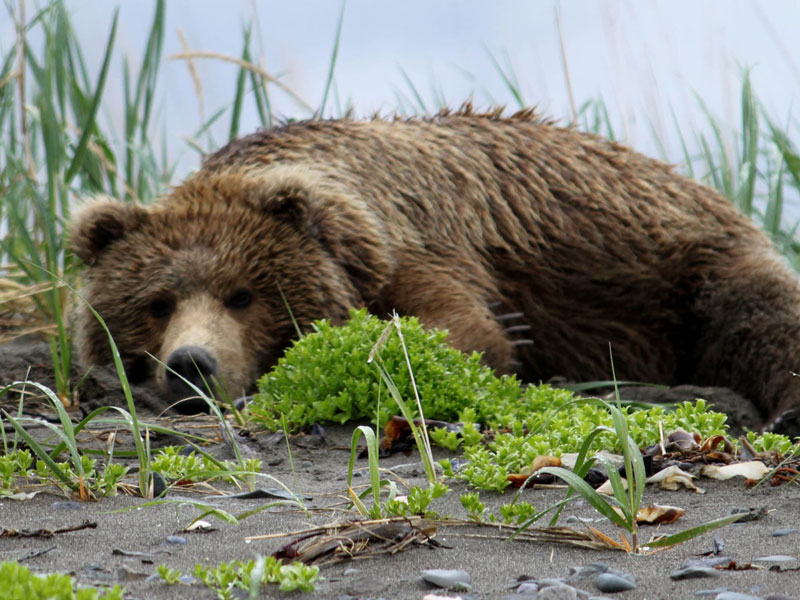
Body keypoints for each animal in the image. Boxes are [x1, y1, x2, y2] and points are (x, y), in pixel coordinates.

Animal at [69, 105, 800, 428]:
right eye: (157, 302)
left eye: (243, 294)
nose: (191, 364)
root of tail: (693, 183)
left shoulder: (419, 239)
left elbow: (458, 332)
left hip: (687, 264)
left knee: (759, 317)